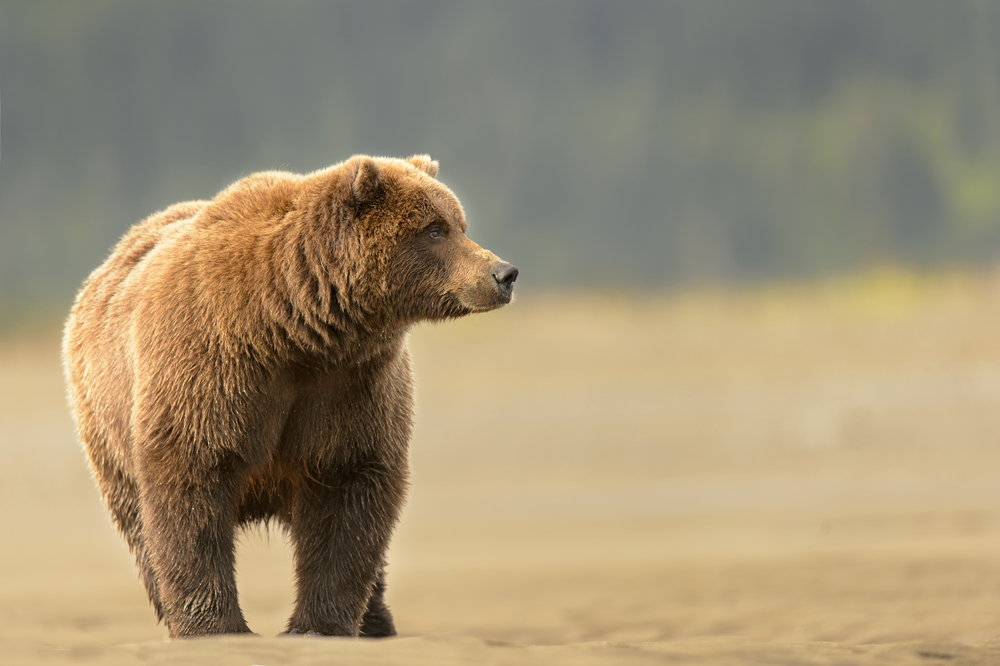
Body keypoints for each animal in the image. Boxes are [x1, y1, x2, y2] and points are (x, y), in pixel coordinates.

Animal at [61, 153, 516, 636]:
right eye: (435, 229)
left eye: (459, 224)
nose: (503, 273)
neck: (292, 329)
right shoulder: (211, 369)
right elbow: (191, 484)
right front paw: (215, 625)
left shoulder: (351, 387)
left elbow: (350, 491)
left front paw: (319, 624)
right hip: (107, 429)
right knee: (137, 522)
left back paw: (378, 621)